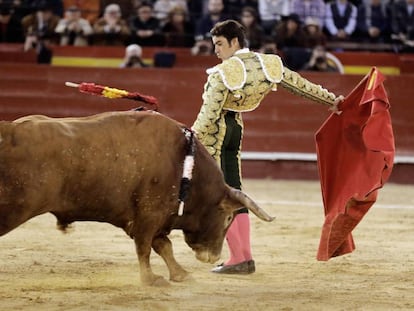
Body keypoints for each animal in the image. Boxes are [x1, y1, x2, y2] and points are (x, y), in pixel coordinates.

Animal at [0, 111, 274, 288]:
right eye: (227, 217)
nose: (213, 257)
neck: (184, 166)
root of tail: (8, 129)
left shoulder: (156, 218)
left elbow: (164, 246)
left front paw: (180, 274)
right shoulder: (149, 216)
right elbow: (145, 247)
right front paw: (150, 279)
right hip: (13, 208)